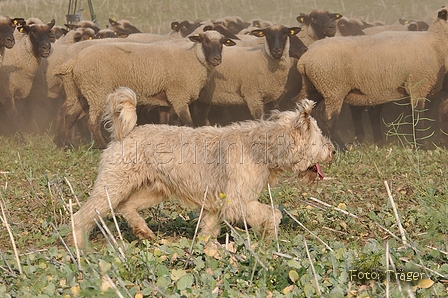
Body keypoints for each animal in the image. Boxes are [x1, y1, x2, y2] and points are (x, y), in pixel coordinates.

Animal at [55, 30, 238, 148]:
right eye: (205, 41)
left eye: (222, 43)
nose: (217, 59)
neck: (193, 60)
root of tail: (75, 60)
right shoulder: (178, 96)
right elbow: (189, 124)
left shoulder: (166, 100)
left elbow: (164, 123)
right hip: (98, 91)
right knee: (92, 122)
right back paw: (102, 146)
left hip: (86, 93)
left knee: (70, 116)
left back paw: (69, 145)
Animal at [70, 86, 334, 247]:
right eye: (320, 138)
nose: (332, 150)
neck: (262, 147)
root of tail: (124, 134)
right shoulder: (237, 202)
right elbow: (272, 214)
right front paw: (270, 239)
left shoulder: (215, 205)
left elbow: (207, 230)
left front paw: (206, 251)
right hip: (113, 187)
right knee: (81, 216)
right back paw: (81, 249)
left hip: (153, 189)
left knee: (127, 207)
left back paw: (144, 232)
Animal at [298, 4, 448, 149]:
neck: (434, 44)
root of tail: (304, 59)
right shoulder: (418, 85)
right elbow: (418, 118)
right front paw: (421, 147)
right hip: (333, 89)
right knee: (329, 121)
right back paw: (343, 148)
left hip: (314, 88)